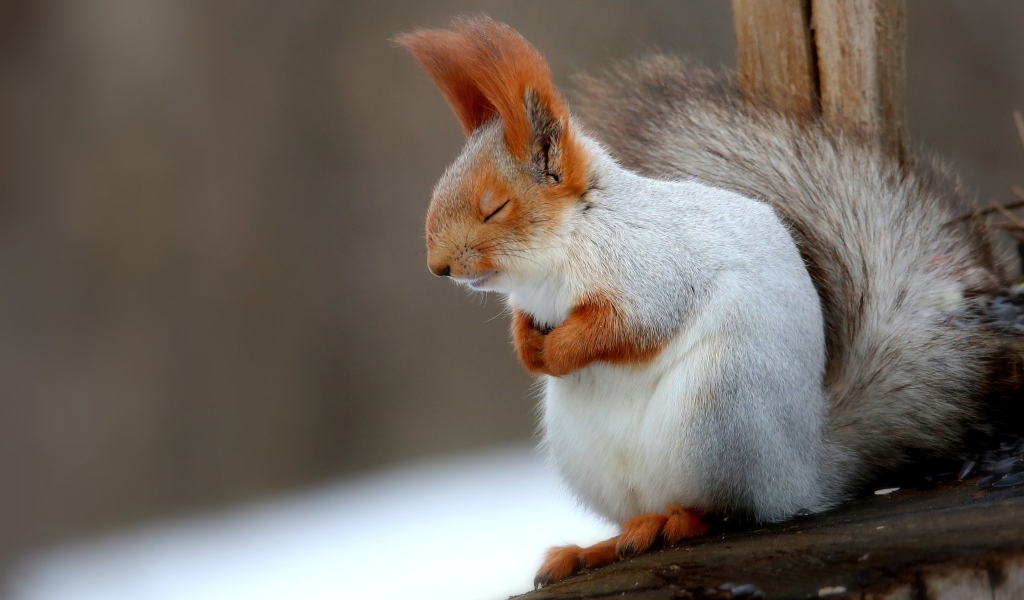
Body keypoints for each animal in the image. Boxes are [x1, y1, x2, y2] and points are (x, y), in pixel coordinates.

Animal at [397, 15, 1024, 585]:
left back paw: (674, 524)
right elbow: (530, 327)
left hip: (718, 410)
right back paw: (597, 548)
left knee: (727, 509)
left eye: (495, 207)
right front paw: (530, 350)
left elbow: (626, 328)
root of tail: (803, 470)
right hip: (594, 455)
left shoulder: (656, 274)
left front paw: (560, 351)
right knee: (644, 512)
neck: (558, 256)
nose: (438, 267)